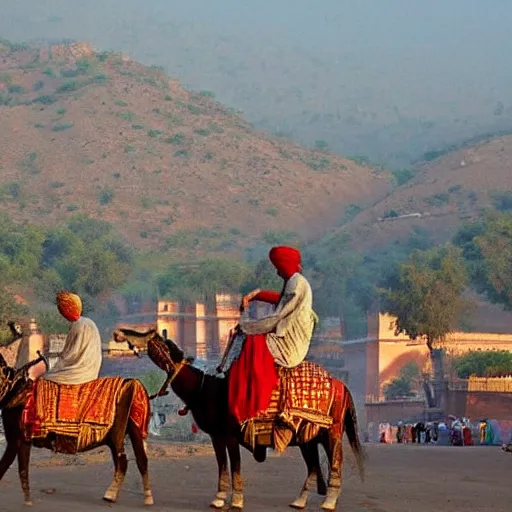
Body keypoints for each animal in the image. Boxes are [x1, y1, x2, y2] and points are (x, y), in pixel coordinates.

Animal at [0, 350, 153, 506]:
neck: (15, 389)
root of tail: (132, 383)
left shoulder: (22, 438)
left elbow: (17, 468)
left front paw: (27, 502)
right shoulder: (15, 440)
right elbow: (8, 465)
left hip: (118, 432)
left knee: (124, 461)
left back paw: (116, 495)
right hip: (128, 430)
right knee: (137, 460)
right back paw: (136, 496)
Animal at [114, 326, 366, 510]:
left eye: (150, 335)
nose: (121, 332)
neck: (207, 388)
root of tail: (341, 385)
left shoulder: (230, 434)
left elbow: (235, 464)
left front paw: (236, 500)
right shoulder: (216, 435)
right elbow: (222, 464)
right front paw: (219, 498)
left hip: (332, 431)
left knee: (335, 460)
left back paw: (329, 502)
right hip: (309, 436)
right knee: (313, 464)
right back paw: (300, 501)